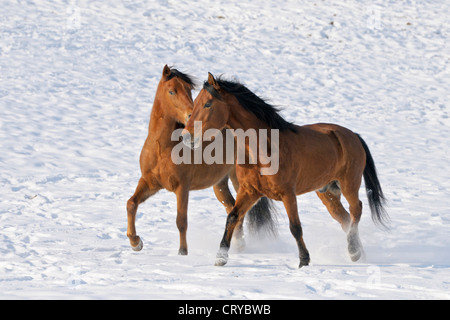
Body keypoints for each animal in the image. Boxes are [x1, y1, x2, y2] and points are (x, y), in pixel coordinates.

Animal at [125, 66, 276, 256]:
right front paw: (135, 243)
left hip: (238, 180)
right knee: (231, 207)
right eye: (172, 91)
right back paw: (237, 245)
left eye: (189, 90)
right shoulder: (150, 182)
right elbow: (131, 203)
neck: (163, 148)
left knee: (239, 211)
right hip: (220, 184)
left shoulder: (182, 187)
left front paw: (182, 253)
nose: (190, 116)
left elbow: (181, 221)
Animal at [182, 72, 386, 268]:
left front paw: (304, 260)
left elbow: (295, 227)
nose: (186, 136)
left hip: (349, 184)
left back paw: (354, 250)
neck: (263, 149)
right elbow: (232, 217)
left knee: (356, 210)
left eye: (208, 104)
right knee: (344, 218)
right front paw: (220, 258)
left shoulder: (288, 193)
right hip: (327, 191)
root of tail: (353, 135)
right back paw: (358, 253)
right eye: (196, 102)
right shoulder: (250, 191)